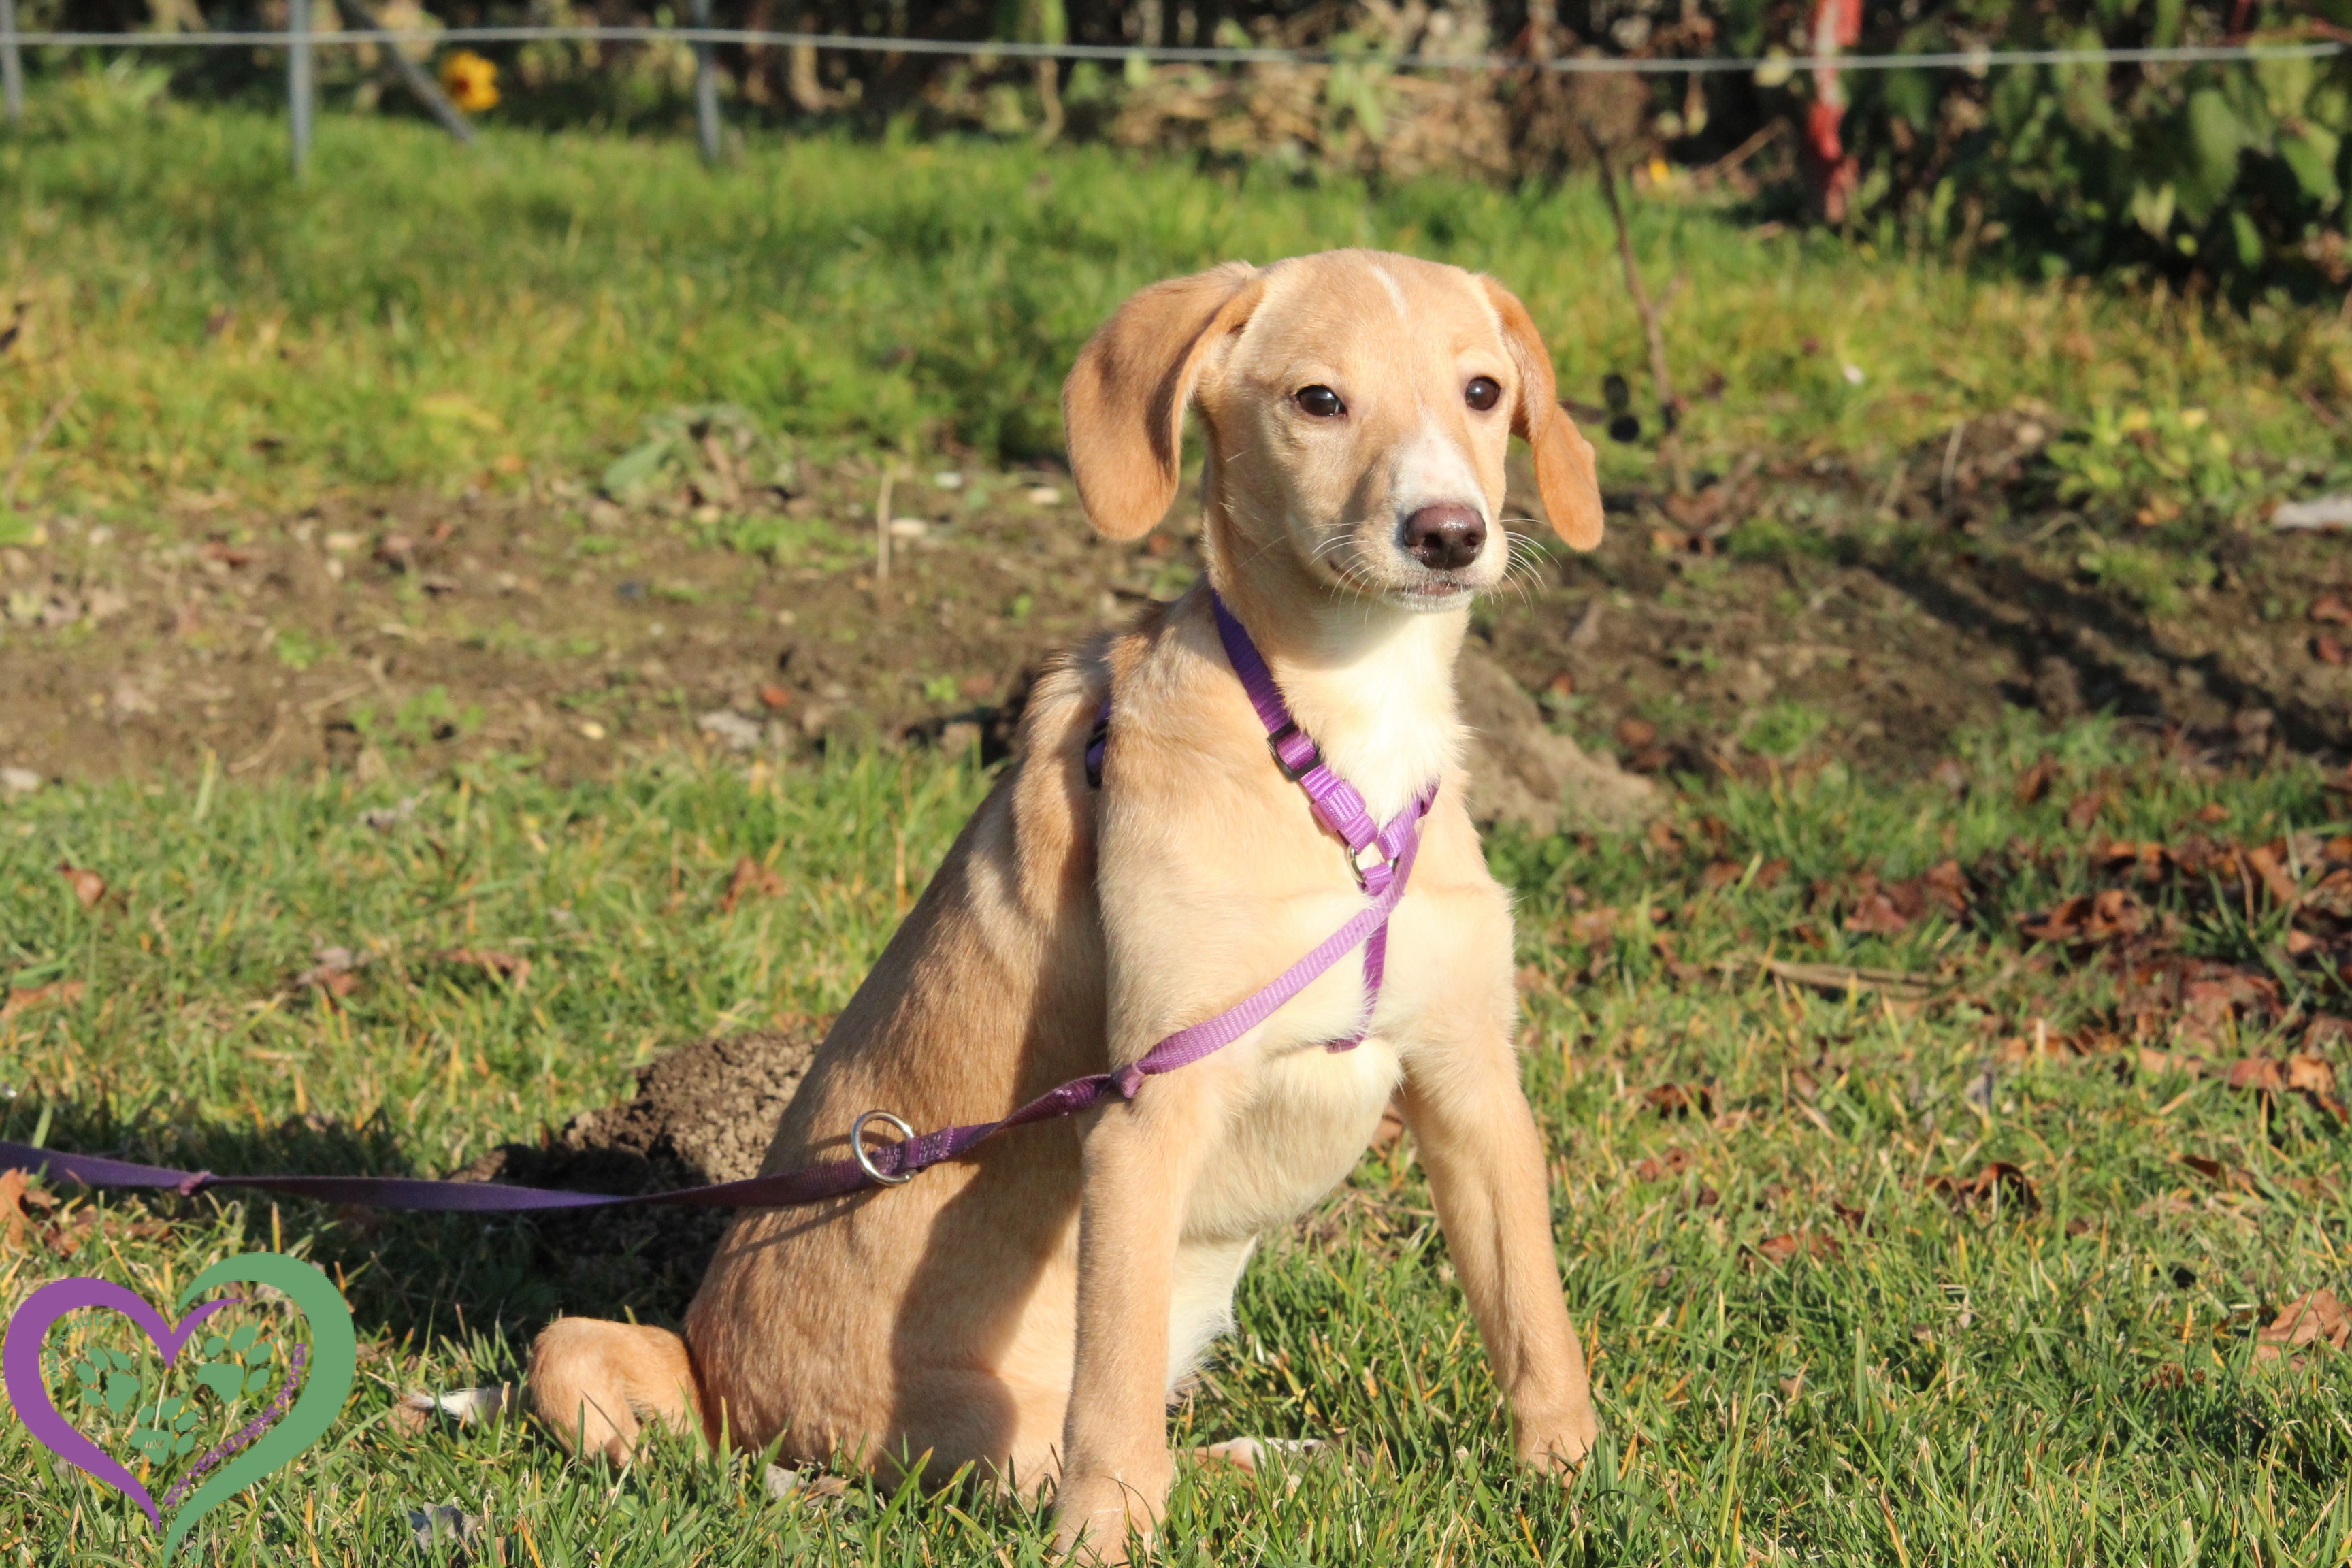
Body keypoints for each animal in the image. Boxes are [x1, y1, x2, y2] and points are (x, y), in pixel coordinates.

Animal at [528, 247, 1608, 1560]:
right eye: (1318, 401)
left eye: (1484, 391)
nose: (1450, 534)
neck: (1331, 741)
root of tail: (711, 1379)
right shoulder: (1151, 1106)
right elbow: (1117, 1397)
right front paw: (1104, 1538)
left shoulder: (1471, 1077)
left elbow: (1535, 1318)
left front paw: (1573, 1481)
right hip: (980, 1416)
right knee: (1081, 1432)